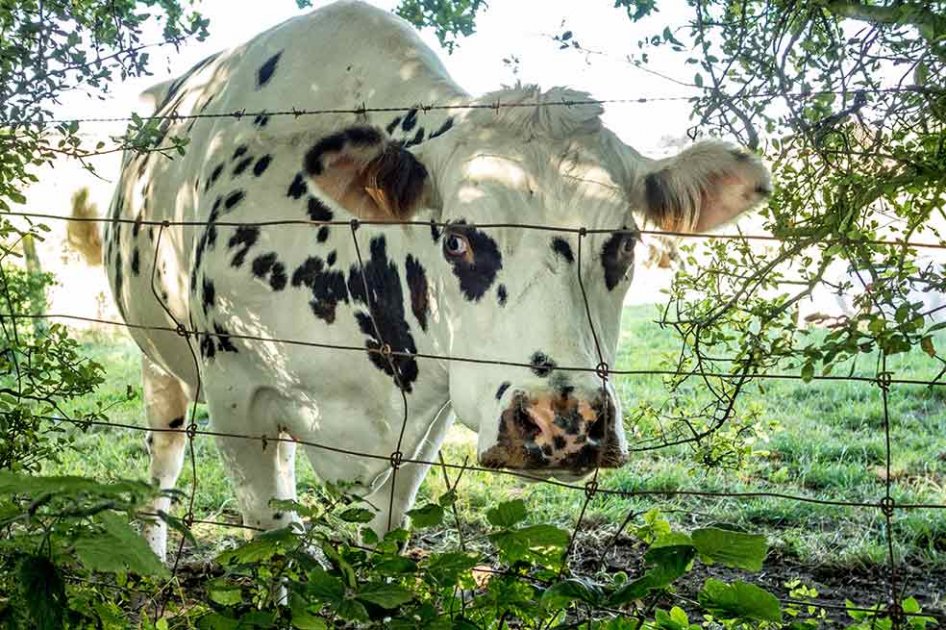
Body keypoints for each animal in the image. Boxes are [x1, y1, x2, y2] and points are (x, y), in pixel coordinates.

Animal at [69, 0, 770, 561]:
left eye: (624, 242)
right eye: (456, 238)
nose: (565, 423)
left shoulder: (421, 430)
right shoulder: (237, 401)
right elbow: (279, 543)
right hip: (158, 361)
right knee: (163, 455)